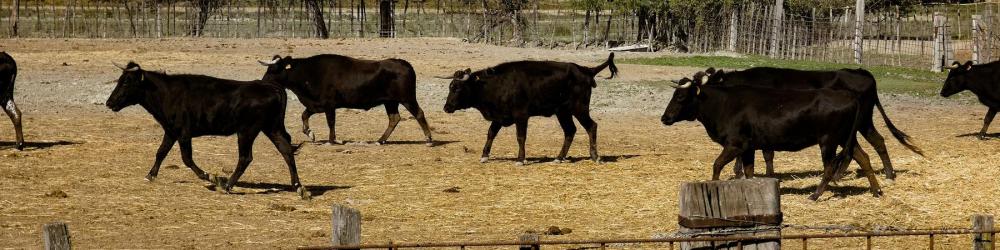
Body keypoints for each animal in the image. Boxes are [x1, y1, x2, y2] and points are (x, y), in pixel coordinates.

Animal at [105, 61, 308, 198]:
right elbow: (161, 152)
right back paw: (298, 186)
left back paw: (227, 186)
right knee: (286, 151)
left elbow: (186, 158)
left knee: (246, 157)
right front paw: (150, 175)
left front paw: (209, 176)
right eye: (120, 80)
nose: (109, 102)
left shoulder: (183, 133)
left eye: (126, 82)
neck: (167, 93)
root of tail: (271, 87)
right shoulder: (170, 131)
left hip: (247, 131)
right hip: (272, 128)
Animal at [258, 53, 430, 146]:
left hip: (407, 98)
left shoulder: (329, 105)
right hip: (390, 102)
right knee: (394, 119)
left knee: (419, 113)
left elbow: (331, 122)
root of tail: (403, 63)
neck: (308, 73)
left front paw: (331, 140)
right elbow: (304, 115)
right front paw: (310, 133)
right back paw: (380, 140)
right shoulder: (316, 105)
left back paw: (429, 139)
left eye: (274, 69)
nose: (263, 80)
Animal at [444, 53, 616, 165]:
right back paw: (559, 158)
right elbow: (490, 134)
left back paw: (595, 156)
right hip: (562, 112)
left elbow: (520, 137)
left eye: (457, 88)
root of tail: (585, 70)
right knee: (570, 131)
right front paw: (484, 156)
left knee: (591, 126)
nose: (446, 107)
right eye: (450, 86)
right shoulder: (499, 117)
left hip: (579, 108)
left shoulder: (521, 115)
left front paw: (521, 159)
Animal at [664, 77, 884, 200]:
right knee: (863, 158)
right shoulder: (748, 147)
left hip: (828, 141)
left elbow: (717, 164)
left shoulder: (735, 144)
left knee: (830, 167)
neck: (723, 104)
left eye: (681, 97)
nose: (664, 117)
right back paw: (876, 191)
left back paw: (815, 195)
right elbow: (748, 171)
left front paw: (713, 185)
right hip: (845, 138)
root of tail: (849, 96)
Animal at [696, 67, 920, 180]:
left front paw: (763, 173)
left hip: (861, 121)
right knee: (875, 142)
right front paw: (741, 171)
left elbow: (766, 153)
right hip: (861, 123)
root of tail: (861, 71)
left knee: (869, 144)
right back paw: (884, 174)